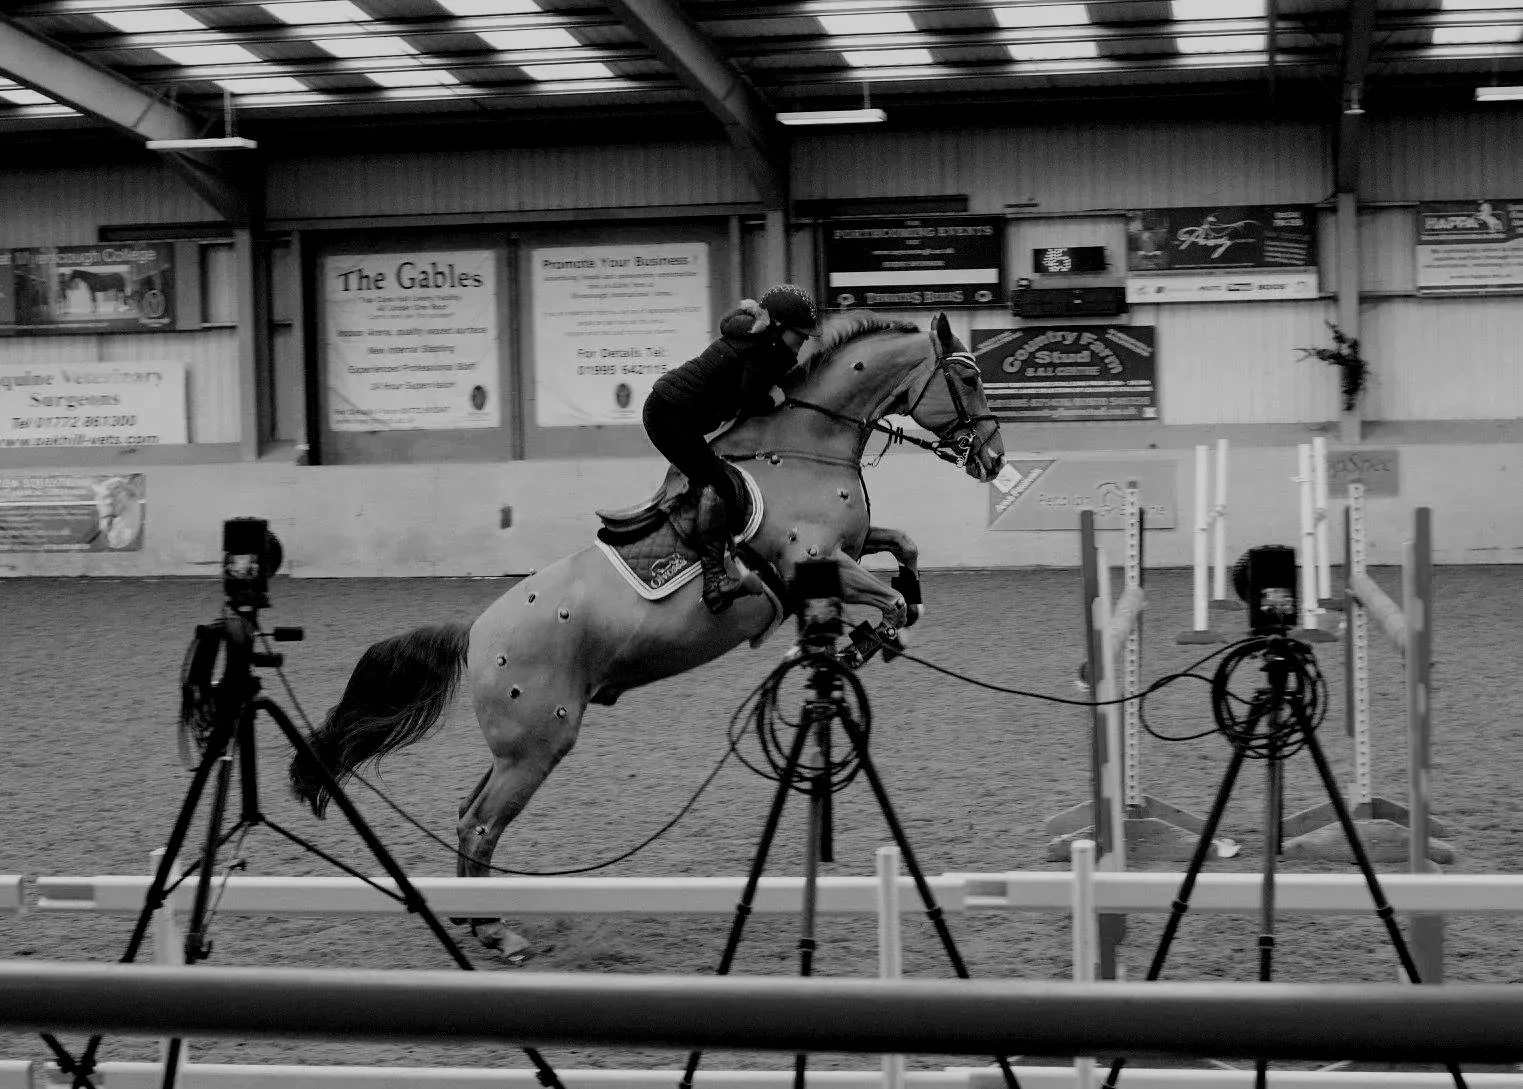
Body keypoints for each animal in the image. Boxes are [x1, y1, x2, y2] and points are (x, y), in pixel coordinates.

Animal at [289, 310, 1005, 955]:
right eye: (969, 376)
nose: (995, 459)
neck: (806, 449)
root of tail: (473, 634)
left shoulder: (849, 551)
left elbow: (904, 549)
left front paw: (890, 620)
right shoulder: (813, 564)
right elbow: (885, 592)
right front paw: (867, 638)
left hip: (516, 748)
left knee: (468, 815)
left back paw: (474, 919)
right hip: (537, 745)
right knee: (481, 826)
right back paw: (494, 930)